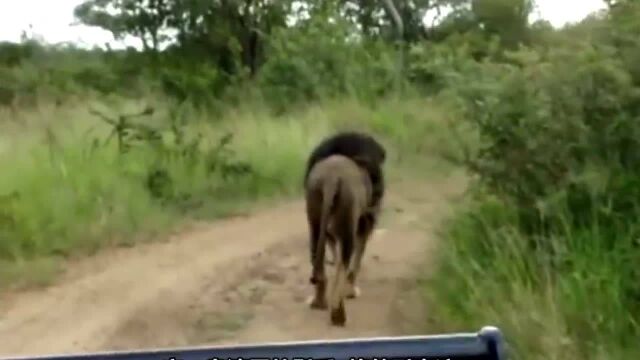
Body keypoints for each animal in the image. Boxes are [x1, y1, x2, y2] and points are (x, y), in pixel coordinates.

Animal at [304, 154, 378, 326]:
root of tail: (331, 178)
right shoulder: (363, 221)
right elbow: (356, 256)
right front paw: (351, 291)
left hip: (314, 209)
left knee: (317, 253)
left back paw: (319, 303)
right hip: (348, 212)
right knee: (344, 261)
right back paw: (338, 315)